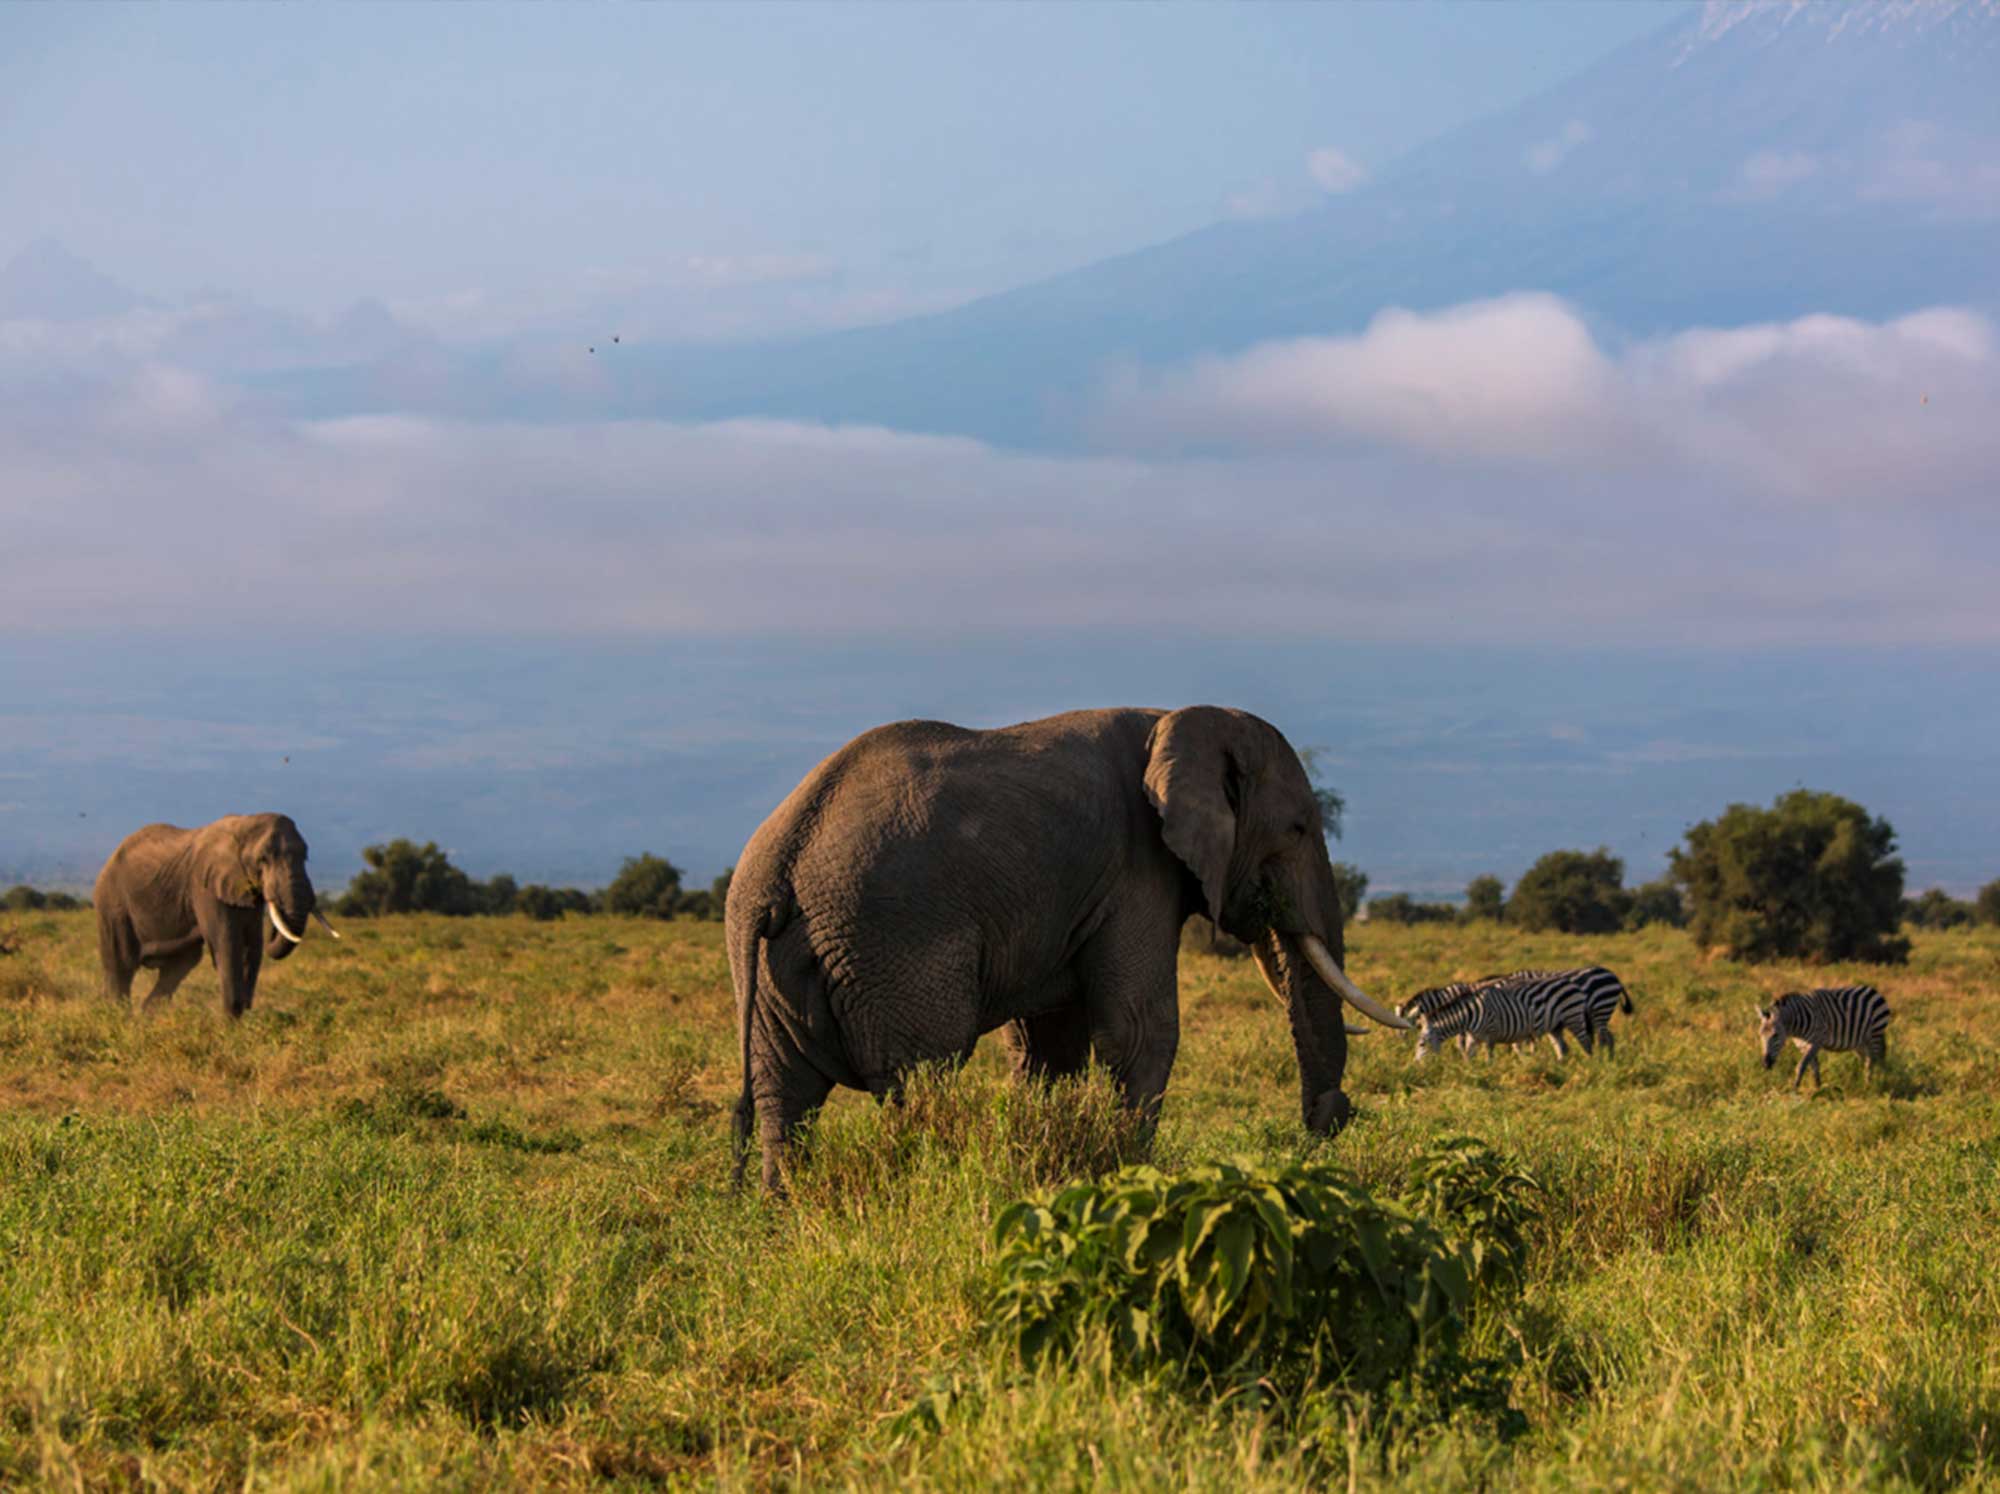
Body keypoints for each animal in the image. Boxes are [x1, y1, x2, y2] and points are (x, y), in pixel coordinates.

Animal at [94, 820, 340, 1016]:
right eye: (263, 859)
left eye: (306, 857)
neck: (244, 826)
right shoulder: (206, 887)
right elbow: (227, 944)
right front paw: (231, 1025)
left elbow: (252, 946)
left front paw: (242, 1022)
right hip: (113, 904)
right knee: (122, 964)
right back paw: (118, 1020)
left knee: (181, 964)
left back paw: (146, 1018)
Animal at [732, 708, 1408, 1184]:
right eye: (1298, 828)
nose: (1333, 1117)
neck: (1175, 717)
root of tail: (779, 865)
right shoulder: (1138, 869)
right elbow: (1141, 1029)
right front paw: (1130, 1172)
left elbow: (1050, 1047)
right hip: (890, 944)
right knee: (922, 1077)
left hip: (771, 968)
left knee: (784, 1098)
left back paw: (786, 1216)